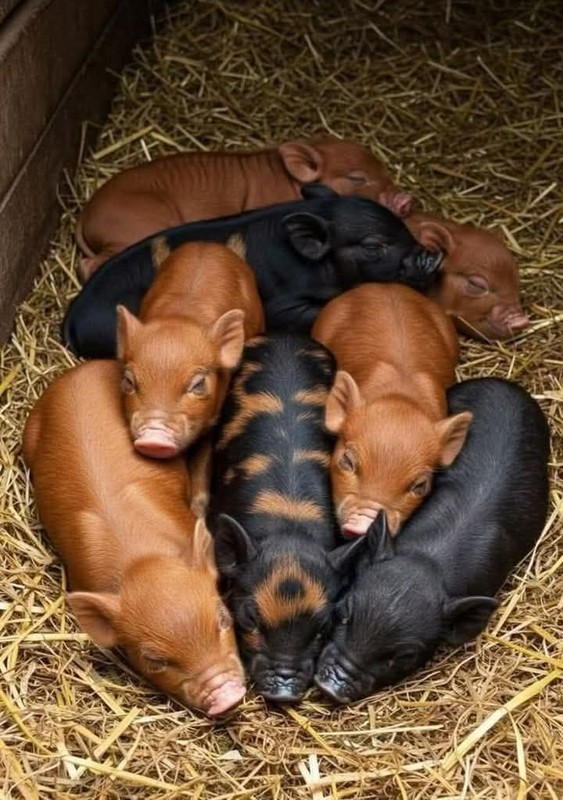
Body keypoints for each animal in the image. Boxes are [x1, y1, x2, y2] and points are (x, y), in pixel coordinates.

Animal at [76, 135, 412, 280]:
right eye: (357, 178)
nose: (405, 199)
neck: (287, 183)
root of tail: (86, 215)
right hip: (134, 229)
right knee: (88, 265)